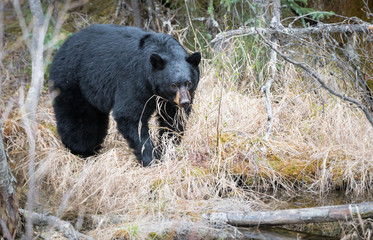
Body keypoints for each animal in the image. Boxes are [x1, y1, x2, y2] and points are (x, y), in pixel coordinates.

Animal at [50, 24, 201, 167]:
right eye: (173, 84)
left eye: (188, 83)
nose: (184, 102)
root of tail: (62, 47)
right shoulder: (135, 81)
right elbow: (130, 116)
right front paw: (151, 159)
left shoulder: (169, 100)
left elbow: (173, 120)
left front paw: (168, 149)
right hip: (73, 82)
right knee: (78, 119)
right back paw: (82, 151)